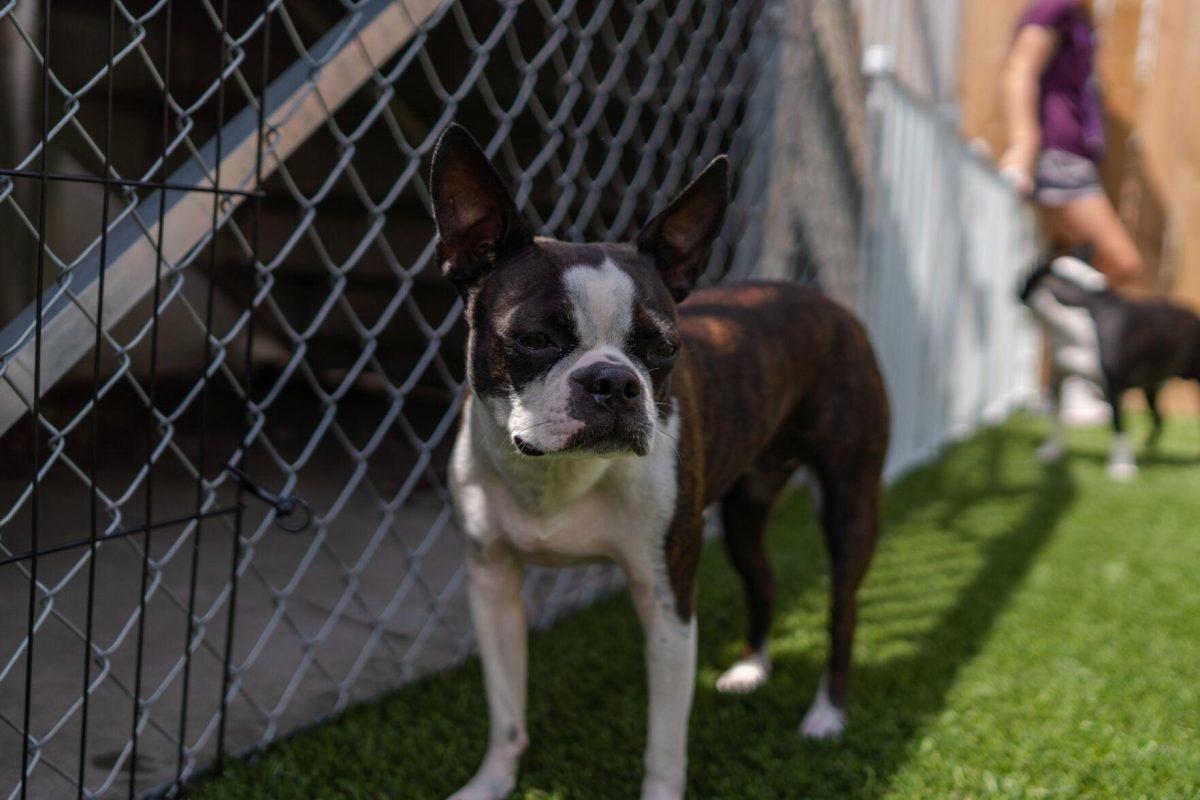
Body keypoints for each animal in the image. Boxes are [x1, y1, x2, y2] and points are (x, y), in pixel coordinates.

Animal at [434, 126, 892, 800]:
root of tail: (830, 304)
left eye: (663, 348)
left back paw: (827, 715)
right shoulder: (491, 584)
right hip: (745, 511)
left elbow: (665, 741)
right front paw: (491, 782)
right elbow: (506, 712)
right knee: (763, 578)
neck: (556, 474)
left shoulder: (667, 598)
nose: (614, 382)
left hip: (849, 500)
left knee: (844, 607)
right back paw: (751, 669)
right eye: (535, 339)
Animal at [1022, 257, 1200, 482]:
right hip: (1151, 388)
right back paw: (1149, 450)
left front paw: (1121, 468)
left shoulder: (1114, 389)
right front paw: (1052, 452)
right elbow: (1055, 418)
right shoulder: (1058, 379)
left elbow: (1119, 427)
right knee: (1159, 418)